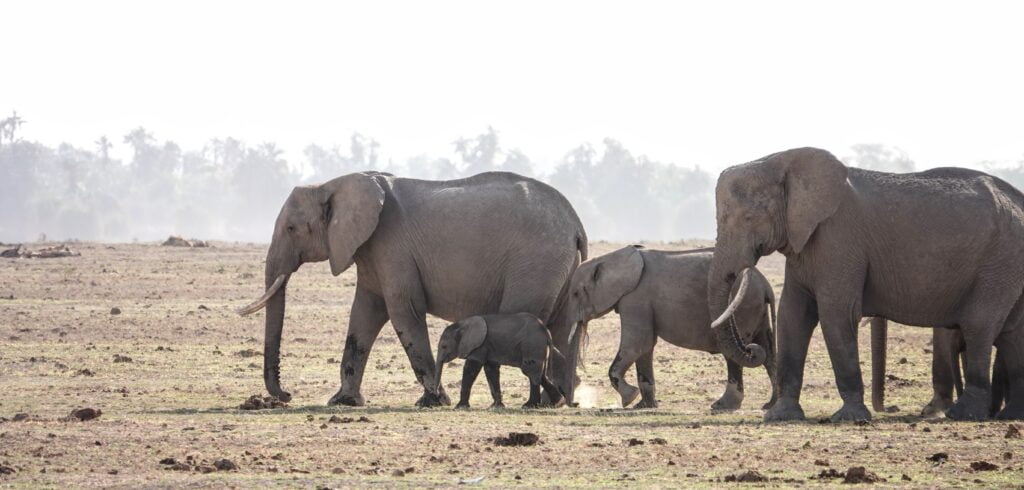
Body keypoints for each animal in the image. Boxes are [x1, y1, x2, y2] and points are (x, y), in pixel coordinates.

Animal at [430, 315, 565, 411]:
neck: (462, 324)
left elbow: (471, 368)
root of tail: (546, 330)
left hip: (532, 345)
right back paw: (557, 403)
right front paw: (496, 406)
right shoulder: (487, 347)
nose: (436, 394)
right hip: (537, 347)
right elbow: (491, 370)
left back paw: (529, 406)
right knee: (539, 374)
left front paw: (459, 407)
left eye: (444, 346)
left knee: (530, 371)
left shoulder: (479, 346)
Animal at [561, 245, 774, 411]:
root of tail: (765, 284)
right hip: (756, 310)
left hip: (743, 306)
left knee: (736, 353)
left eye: (576, 293)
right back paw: (770, 404)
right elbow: (645, 348)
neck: (609, 258)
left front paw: (629, 398)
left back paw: (722, 405)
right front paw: (643, 406)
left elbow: (636, 345)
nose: (575, 404)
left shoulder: (636, 298)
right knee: (768, 352)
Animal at [708, 146, 1024, 421]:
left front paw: (850, 418)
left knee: (980, 325)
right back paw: (1011, 415)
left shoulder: (839, 238)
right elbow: (793, 315)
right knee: (1012, 333)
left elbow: (836, 314)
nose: (752, 348)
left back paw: (964, 415)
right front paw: (780, 416)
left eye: (749, 217)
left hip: (1000, 260)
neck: (783, 161)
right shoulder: (804, 245)